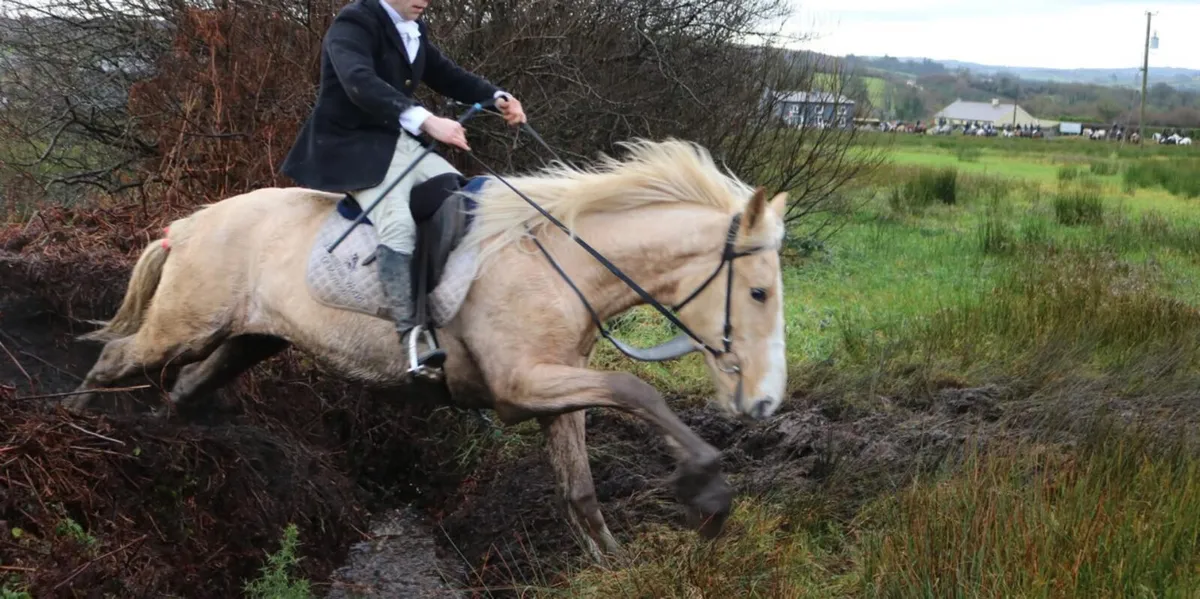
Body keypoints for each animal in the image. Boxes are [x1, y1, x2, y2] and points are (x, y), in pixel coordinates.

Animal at [62, 138, 790, 562]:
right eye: (758, 292)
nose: (764, 402)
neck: (561, 264)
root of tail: (190, 223)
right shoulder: (522, 384)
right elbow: (638, 390)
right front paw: (708, 493)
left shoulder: (557, 386)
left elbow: (581, 487)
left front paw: (612, 561)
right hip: (187, 323)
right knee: (117, 360)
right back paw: (76, 426)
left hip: (248, 340)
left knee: (183, 386)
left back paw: (165, 443)